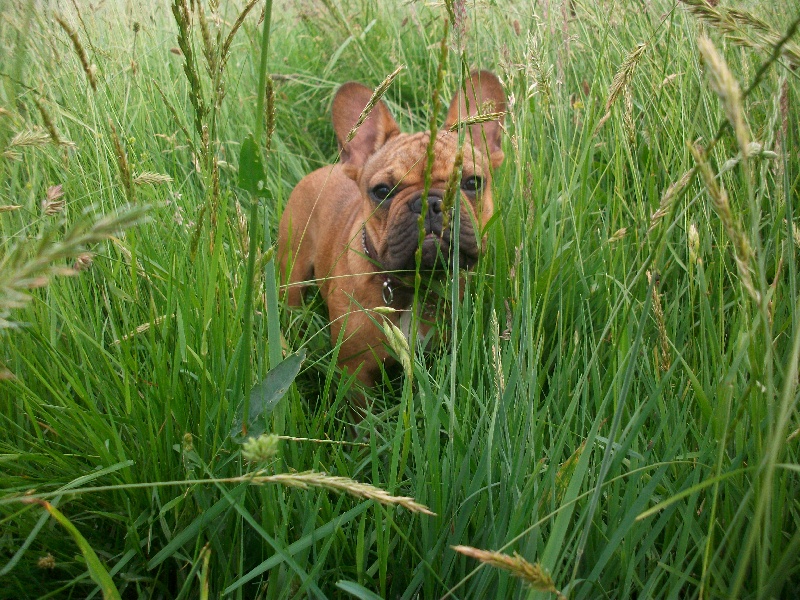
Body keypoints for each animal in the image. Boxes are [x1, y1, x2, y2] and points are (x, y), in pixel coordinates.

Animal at [278, 69, 506, 408]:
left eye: (472, 182)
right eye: (382, 191)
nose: (431, 203)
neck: (413, 287)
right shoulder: (355, 373)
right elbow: (362, 416)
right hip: (291, 272)